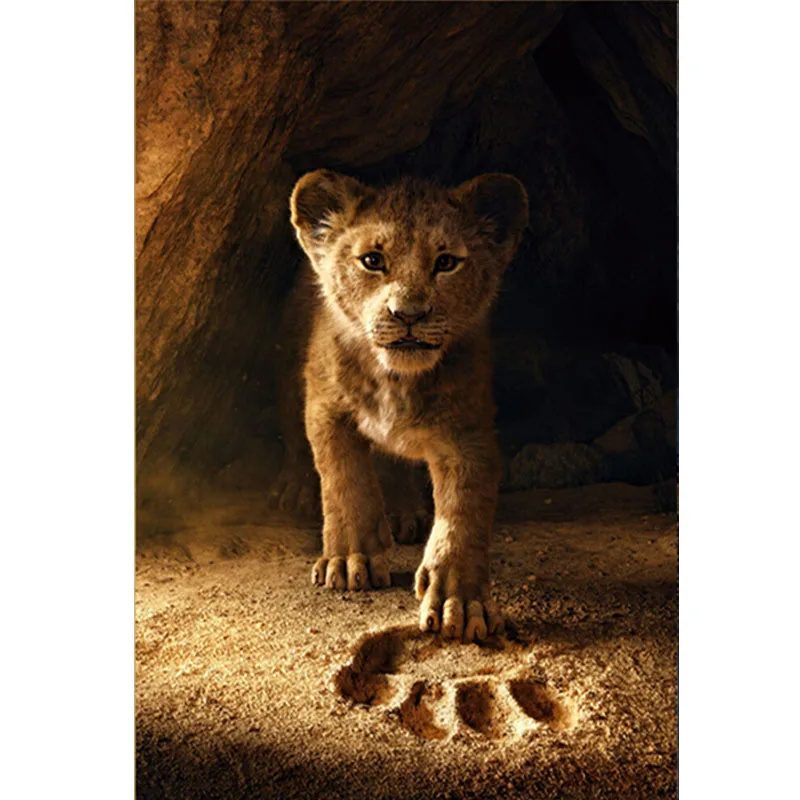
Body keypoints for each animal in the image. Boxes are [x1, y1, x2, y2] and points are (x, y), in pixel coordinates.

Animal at [287, 169, 528, 642]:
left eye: (447, 262)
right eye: (372, 260)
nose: (409, 314)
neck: (395, 379)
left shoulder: (468, 433)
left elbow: (463, 512)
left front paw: (460, 601)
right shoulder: (325, 408)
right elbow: (344, 481)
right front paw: (351, 559)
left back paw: (404, 514)